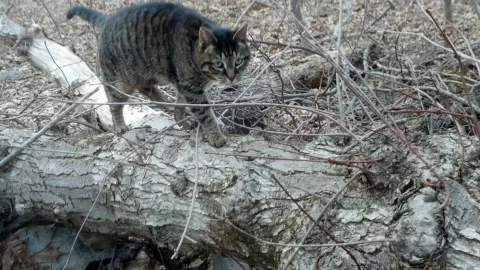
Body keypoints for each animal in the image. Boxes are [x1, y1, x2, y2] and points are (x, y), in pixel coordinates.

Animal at [67, 1, 251, 148]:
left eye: (238, 61)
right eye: (219, 64)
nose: (232, 77)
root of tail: (107, 19)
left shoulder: (184, 86)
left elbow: (180, 106)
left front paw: (181, 121)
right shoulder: (191, 89)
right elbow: (206, 115)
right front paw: (216, 136)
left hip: (147, 75)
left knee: (146, 89)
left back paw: (164, 103)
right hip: (119, 84)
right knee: (113, 103)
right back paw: (120, 125)